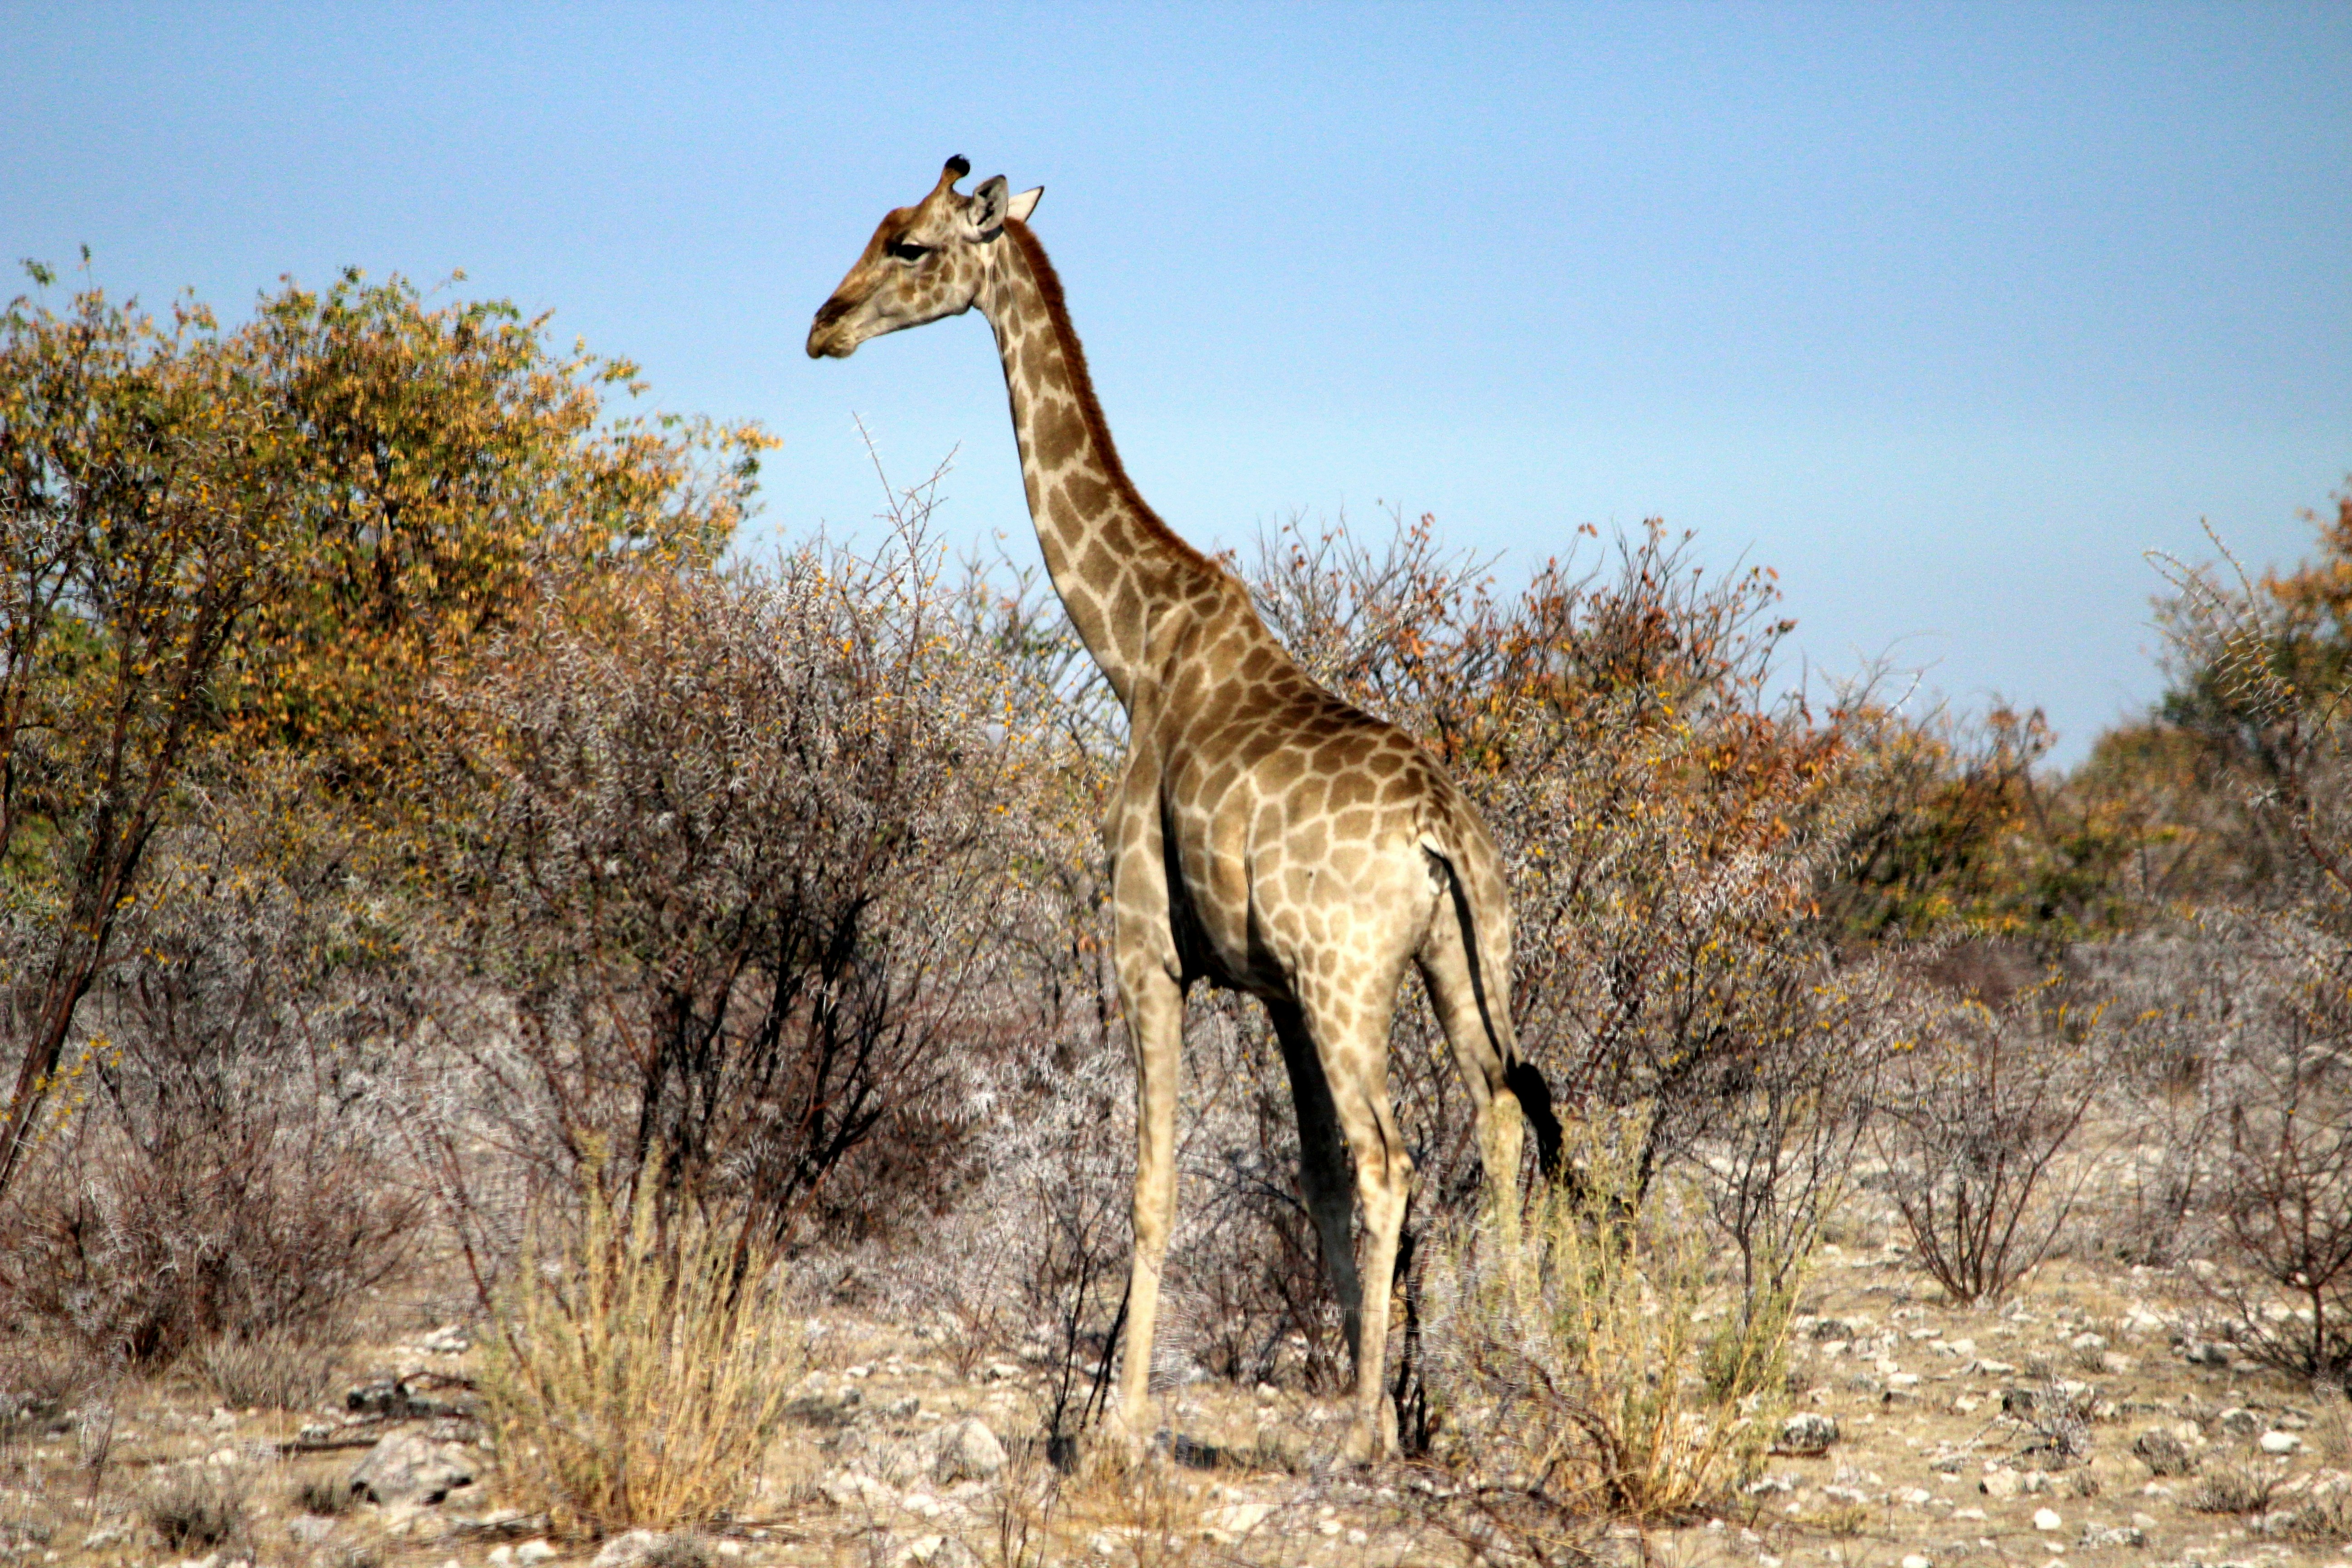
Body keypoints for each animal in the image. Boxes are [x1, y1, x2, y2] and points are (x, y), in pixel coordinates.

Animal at [808, 158, 1558, 1463]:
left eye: (906, 245)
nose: (823, 326)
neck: (1134, 645)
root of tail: (1442, 833)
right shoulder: (1272, 990)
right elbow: (1309, 1184)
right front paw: (1352, 1390)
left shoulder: (1149, 947)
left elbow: (1156, 1183)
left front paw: (1121, 1428)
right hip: (1457, 963)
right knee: (1495, 1114)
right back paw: (1504, 1379)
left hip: (1350, 981)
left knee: (1394, 1159)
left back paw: (1366, 1445)